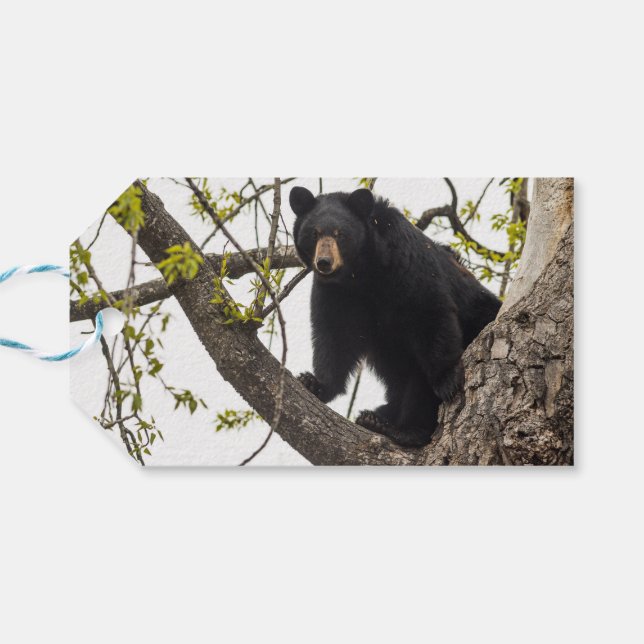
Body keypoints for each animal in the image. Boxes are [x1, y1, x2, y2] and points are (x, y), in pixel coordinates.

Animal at [290, 186, 501, 448]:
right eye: (314, 234)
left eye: (341, 234)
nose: (324, 262)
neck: (361, 274)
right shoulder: (336, 293)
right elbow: (335, 335)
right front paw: (315, 383)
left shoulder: (406, 264)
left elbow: (430, 312)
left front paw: (447, 380)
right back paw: (376, 417)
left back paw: (402, 429)